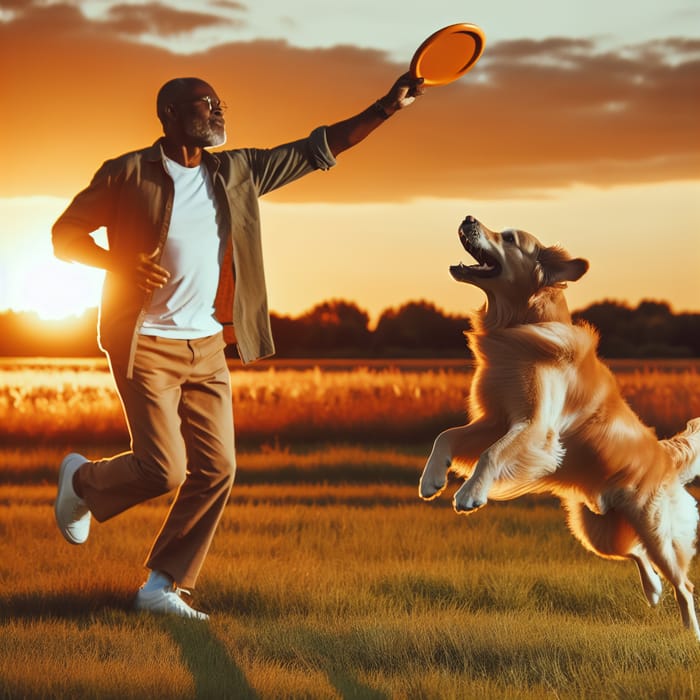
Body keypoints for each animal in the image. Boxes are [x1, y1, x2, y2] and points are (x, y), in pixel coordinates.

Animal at [418, 216, 696, 636]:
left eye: (509, 238)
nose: (467, 218)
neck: (518, 322)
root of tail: (665, 456)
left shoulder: (534, 426)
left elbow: (491, 454)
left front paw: (469, 495)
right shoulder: (496, 419)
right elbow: (446, 435)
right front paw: (432, 479)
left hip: (654, 528)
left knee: (683, 582)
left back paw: (691, 631)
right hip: (595, 529)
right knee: (635, 553)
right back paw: (652, 590)